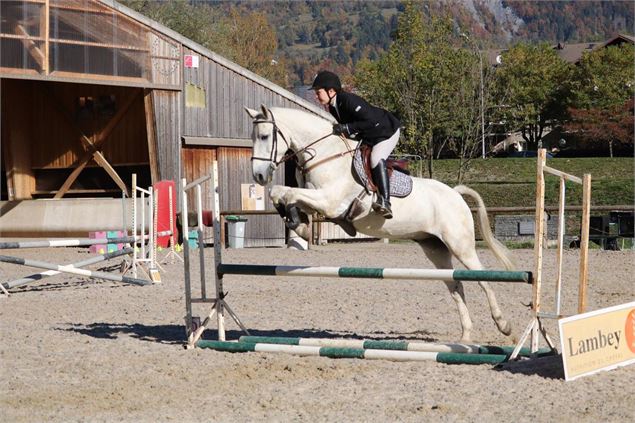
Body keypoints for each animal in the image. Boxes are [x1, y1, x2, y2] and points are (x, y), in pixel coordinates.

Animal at [243, 104, 516, 342]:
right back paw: (466, 335)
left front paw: (298, 225)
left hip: (460, 245)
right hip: (435, 248)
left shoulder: (330, 202)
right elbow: (283, 194)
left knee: (481, 278)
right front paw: (298, 225)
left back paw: (504, 325)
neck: (326, 156)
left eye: (265, 136)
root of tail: (455, 193)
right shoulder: (316, 202)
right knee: (456, 285)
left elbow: (284, 191)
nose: (259, 175)